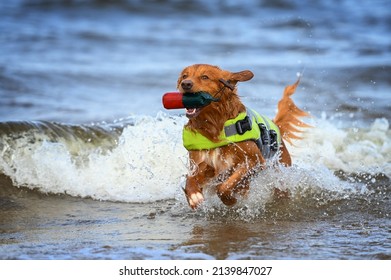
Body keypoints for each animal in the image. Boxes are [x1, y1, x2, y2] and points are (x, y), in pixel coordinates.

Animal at [178, 63, 310, 208]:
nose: (185, 84)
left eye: (205, 77)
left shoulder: (255, 161)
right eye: (184, 76)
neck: (214, 127)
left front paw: (230, 199)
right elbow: (190, 178)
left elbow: (225, 187)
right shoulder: (201, 164)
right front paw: (193, 195)